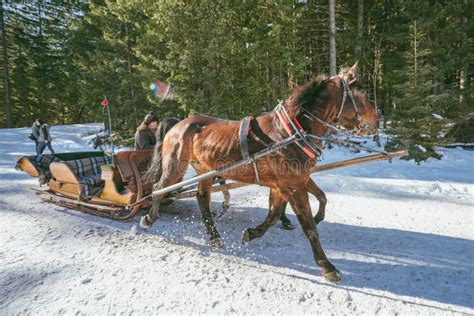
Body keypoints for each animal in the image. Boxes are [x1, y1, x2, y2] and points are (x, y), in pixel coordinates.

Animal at [143, 63, 376, 282]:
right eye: (362, 92)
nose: (376, 122)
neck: (289, 133)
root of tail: (178, 123)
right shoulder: (292, 185)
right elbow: (308, 226)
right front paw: (327, 266)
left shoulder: (287, 183)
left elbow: (278, 214)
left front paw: (251, 234)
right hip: (175, 165)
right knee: (158, 188)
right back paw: (149, 218)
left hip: (205, 169)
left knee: (202, 198)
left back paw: (214, 236)